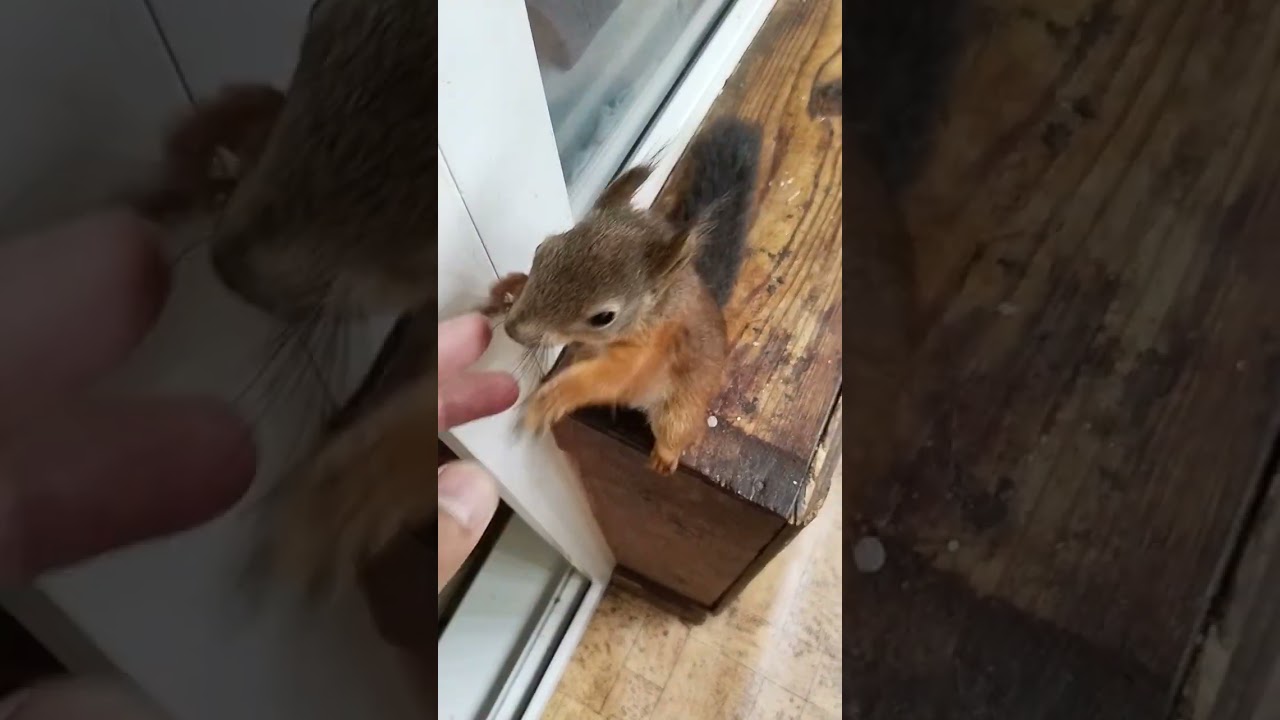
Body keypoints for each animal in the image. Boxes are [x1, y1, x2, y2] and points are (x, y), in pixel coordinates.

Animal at [483, 117, 762, 474]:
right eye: (541, 249)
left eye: (604, 318)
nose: (513, 329)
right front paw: (509, 287)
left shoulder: (644, 354)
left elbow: (606, 379)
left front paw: (549, 401)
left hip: (682, 406)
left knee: (680, 429)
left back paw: (664, 458)